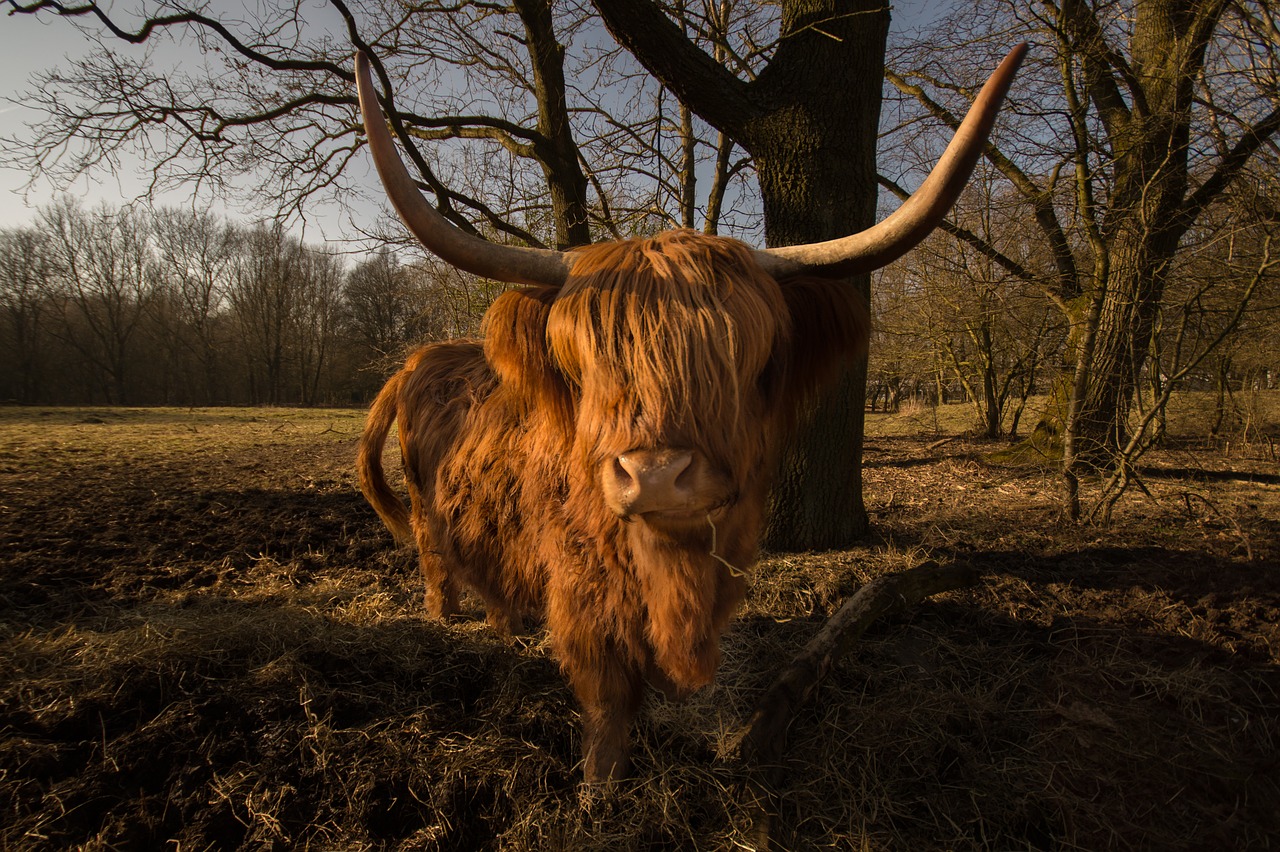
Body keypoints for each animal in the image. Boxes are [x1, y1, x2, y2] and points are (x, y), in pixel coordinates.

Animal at [353, 43, 1029, 777]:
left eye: (750, 362)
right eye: (583, 366)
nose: (654, 477)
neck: (671, 571)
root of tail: (416, 361)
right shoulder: (584, 597)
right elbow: (607, 702)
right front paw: (600, 785)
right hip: (428, 512)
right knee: (437, 562)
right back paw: (449, 622)